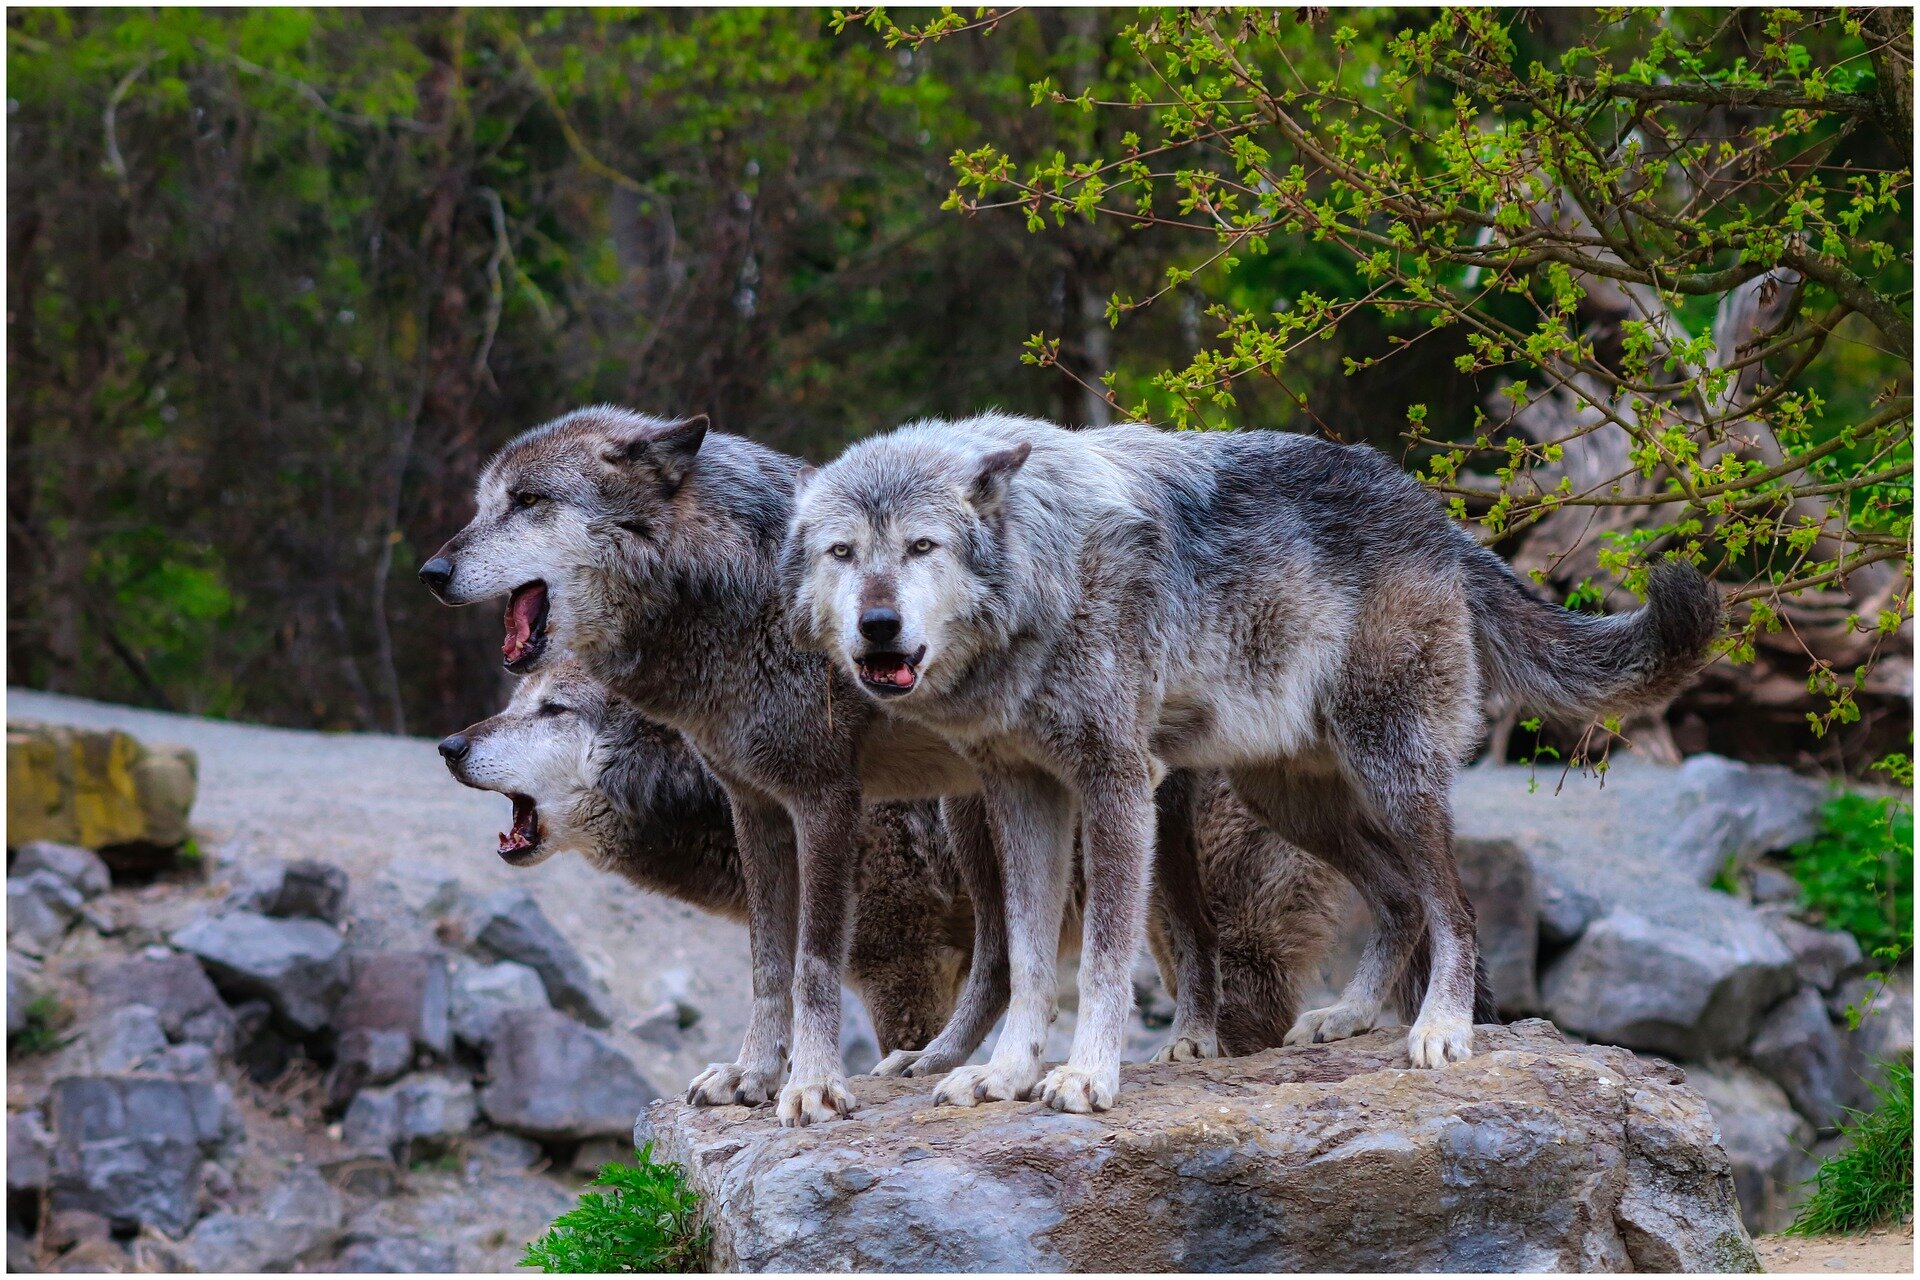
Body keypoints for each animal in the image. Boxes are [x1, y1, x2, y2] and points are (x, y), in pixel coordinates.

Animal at [420, 408, 1221, 1120]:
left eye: (528, 502)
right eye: (485, 503)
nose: (430, 570)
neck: (736, 597)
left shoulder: (837, 825)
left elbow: (812, 969)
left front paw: (811, 1087)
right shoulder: (757, 807)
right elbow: (769, 965)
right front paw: (750, 1076)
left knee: (1191, 931)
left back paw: (1190, 1043)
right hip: (979, 814)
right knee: (1005, 959)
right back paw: (938, 1063)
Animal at [787, 412, 1720, 1113]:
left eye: (922, 547)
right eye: (843, 553)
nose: (877, 625)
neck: (1046, 568)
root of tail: (1439, 518)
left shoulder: (1116, 785)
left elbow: (1100, 962)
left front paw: (1087, 1075)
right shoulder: (1024, 794)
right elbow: (1027, 960)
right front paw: (1006, 1073)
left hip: (1392, 775)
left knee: (1452, 908)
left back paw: (1441, 1030)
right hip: (1292, 802)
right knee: (1400, 900)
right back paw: (1349, 1016)